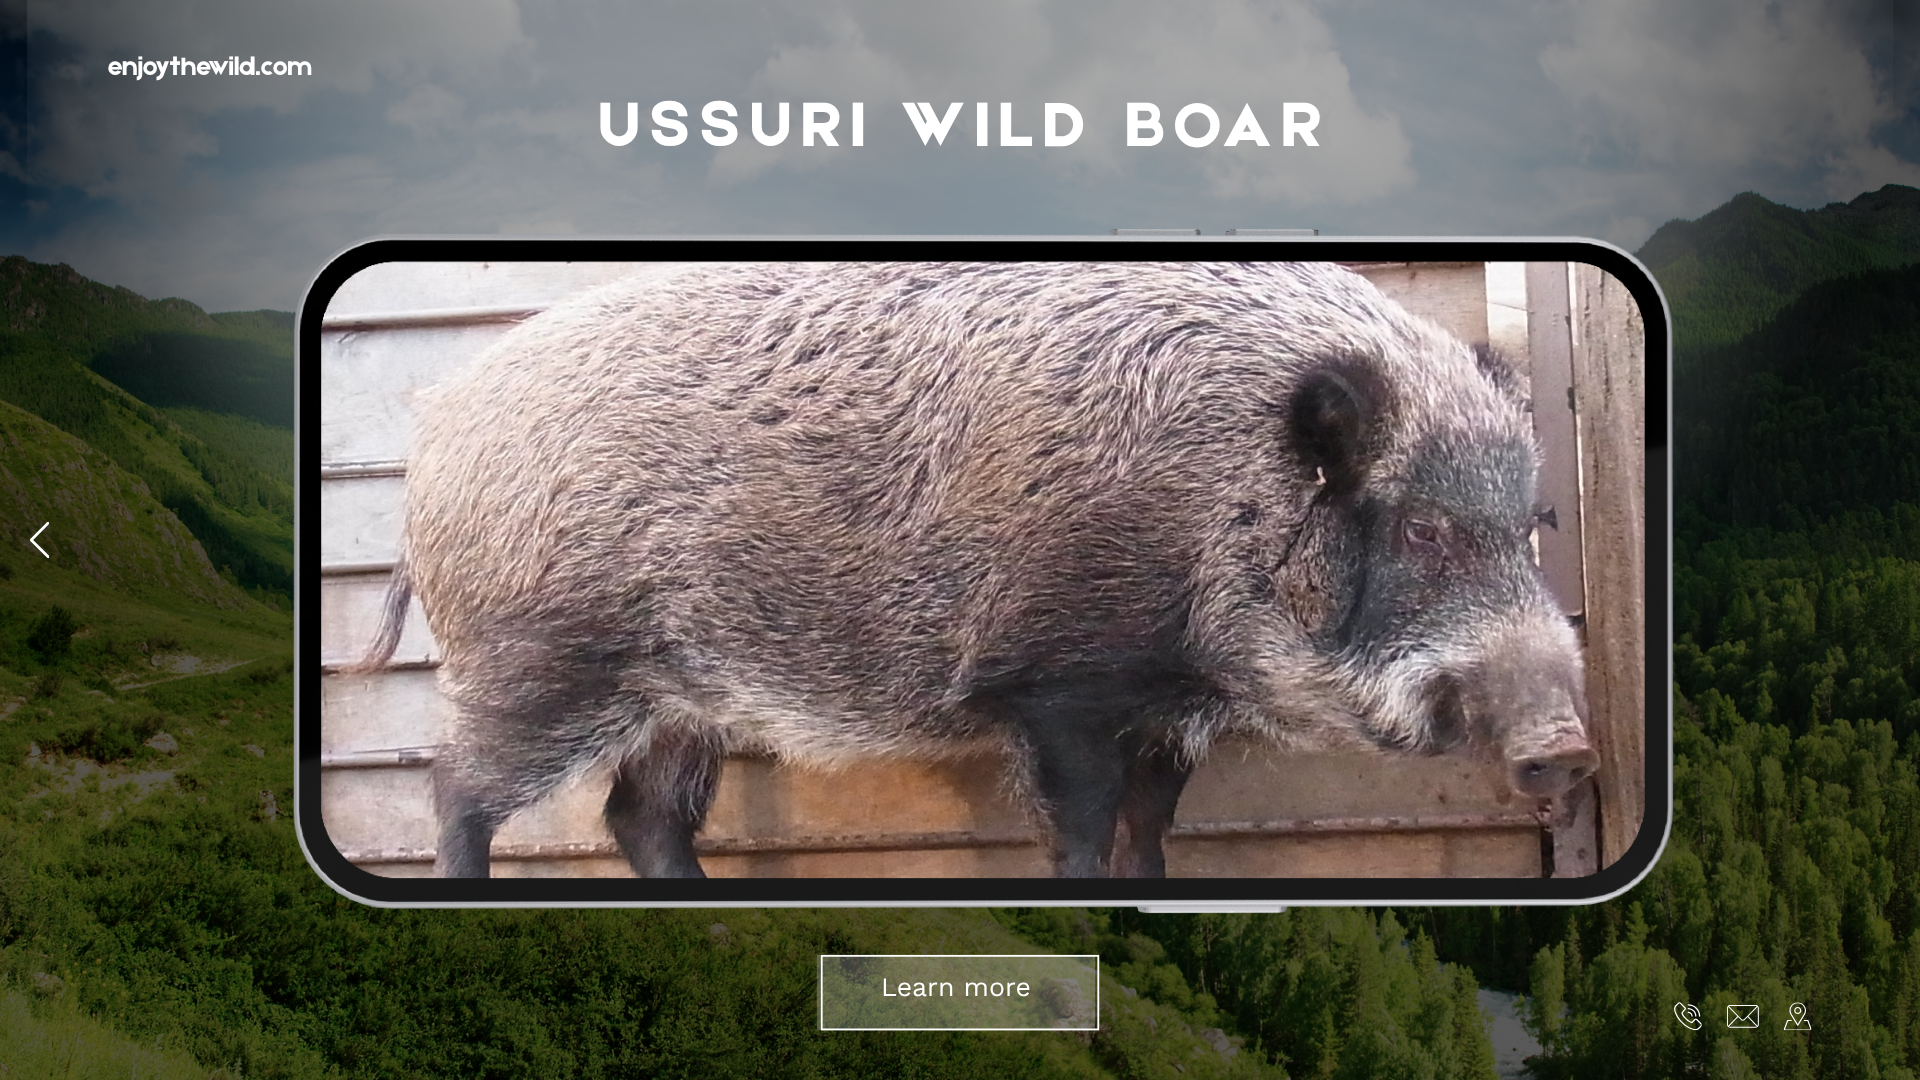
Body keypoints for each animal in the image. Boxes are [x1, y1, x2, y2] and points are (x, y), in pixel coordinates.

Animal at [351, 260, 1597, 879]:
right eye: (1424, 532)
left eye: (1528, 522)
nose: (1574, 748)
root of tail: (435, 436)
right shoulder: (1058, 681)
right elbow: (1084, 825)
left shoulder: (1170, 710)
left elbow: (1154, 827)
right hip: (543, 660)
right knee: (460, 790)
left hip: (677, 699)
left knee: (641, 818)